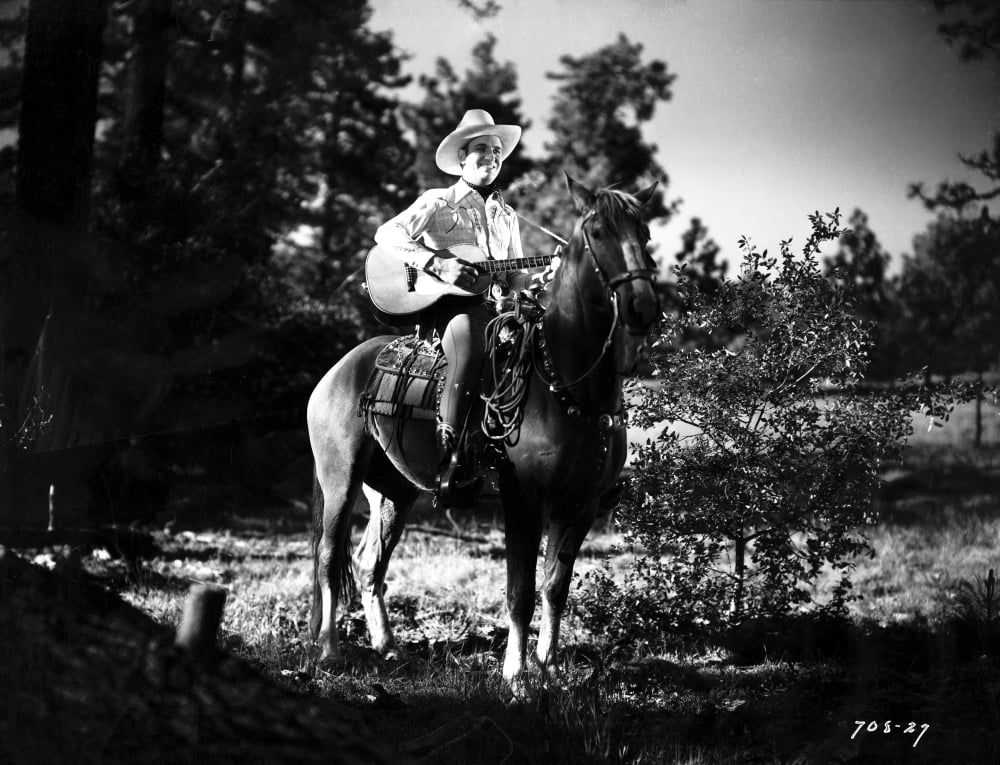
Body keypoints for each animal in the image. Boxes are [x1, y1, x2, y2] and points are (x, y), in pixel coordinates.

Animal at [307, 173, 660, 692]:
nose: (641, 305)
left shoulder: (580, 507)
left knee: (371, 563)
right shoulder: (524, 501)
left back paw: (388, 647)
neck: (568, 384)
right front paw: (516, 676)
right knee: (331, 557)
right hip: (341, 479)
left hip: (393, 490)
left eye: (646, 234)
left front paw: (548, 667)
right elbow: (521, 591)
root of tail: (338, 370)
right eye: (597, 232)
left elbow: (555, 588)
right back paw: (331, 650)